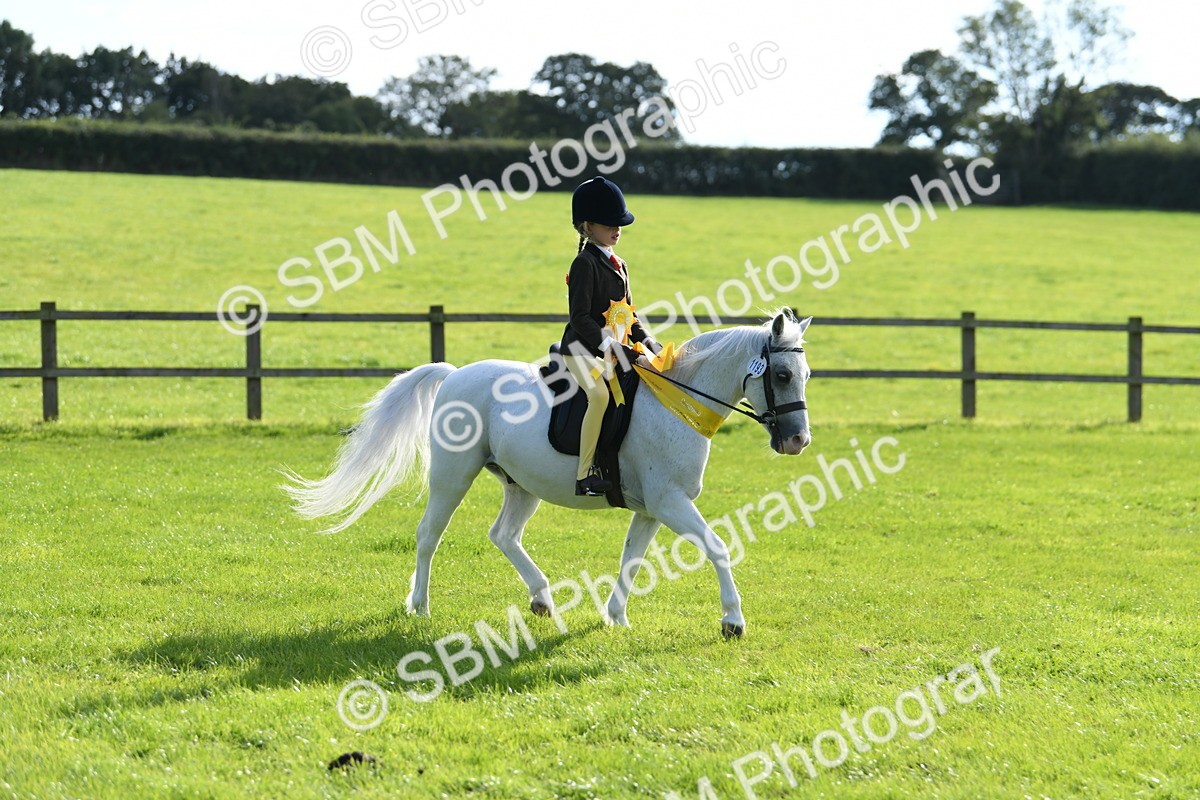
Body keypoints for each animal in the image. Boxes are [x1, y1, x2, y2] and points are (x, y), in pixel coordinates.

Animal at [284, 310, 812, 638]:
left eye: (804, 375)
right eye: (782, 375)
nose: (798, 442)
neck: (677, 401)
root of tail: (454, 375)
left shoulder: (653, 508)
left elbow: (631, 558)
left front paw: (615, 617)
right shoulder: (671, 503)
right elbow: (718, 547)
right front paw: (732, 621)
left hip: (522, 484)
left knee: (503, 534)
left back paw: (541, 598)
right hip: (453, 476)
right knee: (428, 535)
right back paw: (420, 606)